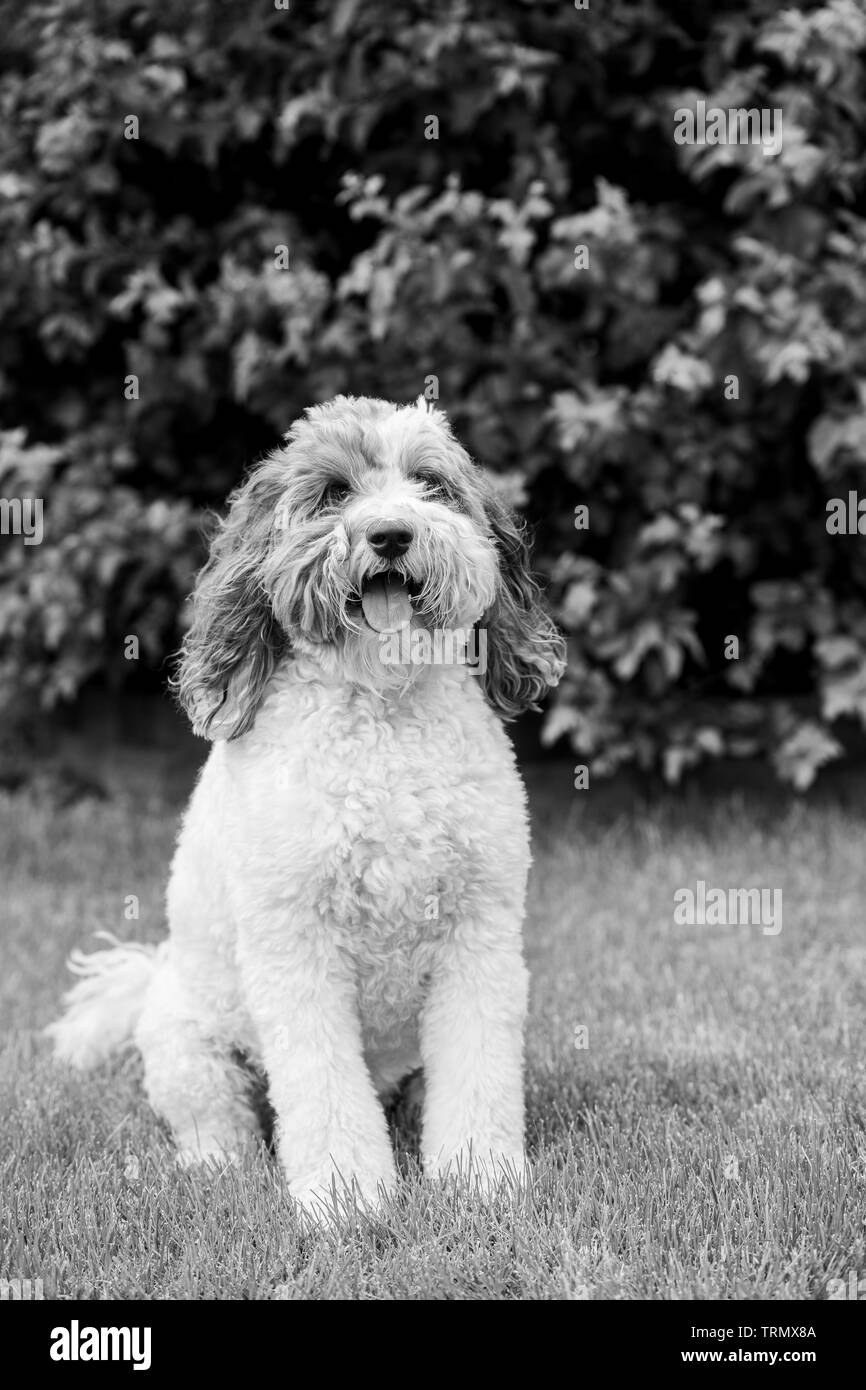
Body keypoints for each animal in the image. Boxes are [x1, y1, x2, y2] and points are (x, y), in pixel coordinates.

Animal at [47, 394, 567, 1217]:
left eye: (430, 484)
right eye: (333, 493)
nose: (391, 534)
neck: (381, 711)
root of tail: (149, 975)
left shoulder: (479, 933)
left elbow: (479, 1069)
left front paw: (479, 1178)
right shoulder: (296, 946)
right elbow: (321, 1087)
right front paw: (347, 1196)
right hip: (188, 1046)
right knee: (216, 1120)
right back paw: (216, 1167)